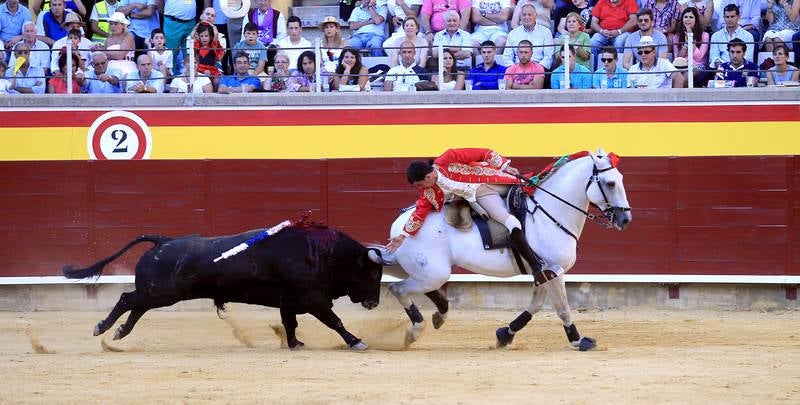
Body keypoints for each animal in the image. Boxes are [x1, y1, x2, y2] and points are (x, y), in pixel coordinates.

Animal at [64, 226, 382, 348]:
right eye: (372, 275)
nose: (374, 303)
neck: (321, 253)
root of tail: (163, 240)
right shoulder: (313, 298)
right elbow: (334, 321)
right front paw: (356, 341)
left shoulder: (288, 300)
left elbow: (289, 324)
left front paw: (294, 344)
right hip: (161, 291)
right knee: (127, 299)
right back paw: (103, 327)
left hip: (160, 293)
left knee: (136, 305)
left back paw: (119, 332)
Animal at [376, 149, 632, 350]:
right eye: (610, 183)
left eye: (619, 178)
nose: (625, 219)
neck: (551, 211)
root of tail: (399, 226)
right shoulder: (554, 270)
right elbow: (562, 309)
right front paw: (578, 340)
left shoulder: (544, 274)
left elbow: (536, 306)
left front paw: (505, 335)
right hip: (433, 272)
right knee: (398, 288)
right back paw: (415, 330)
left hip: (426, 272)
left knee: (415, 286)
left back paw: (439, 315)